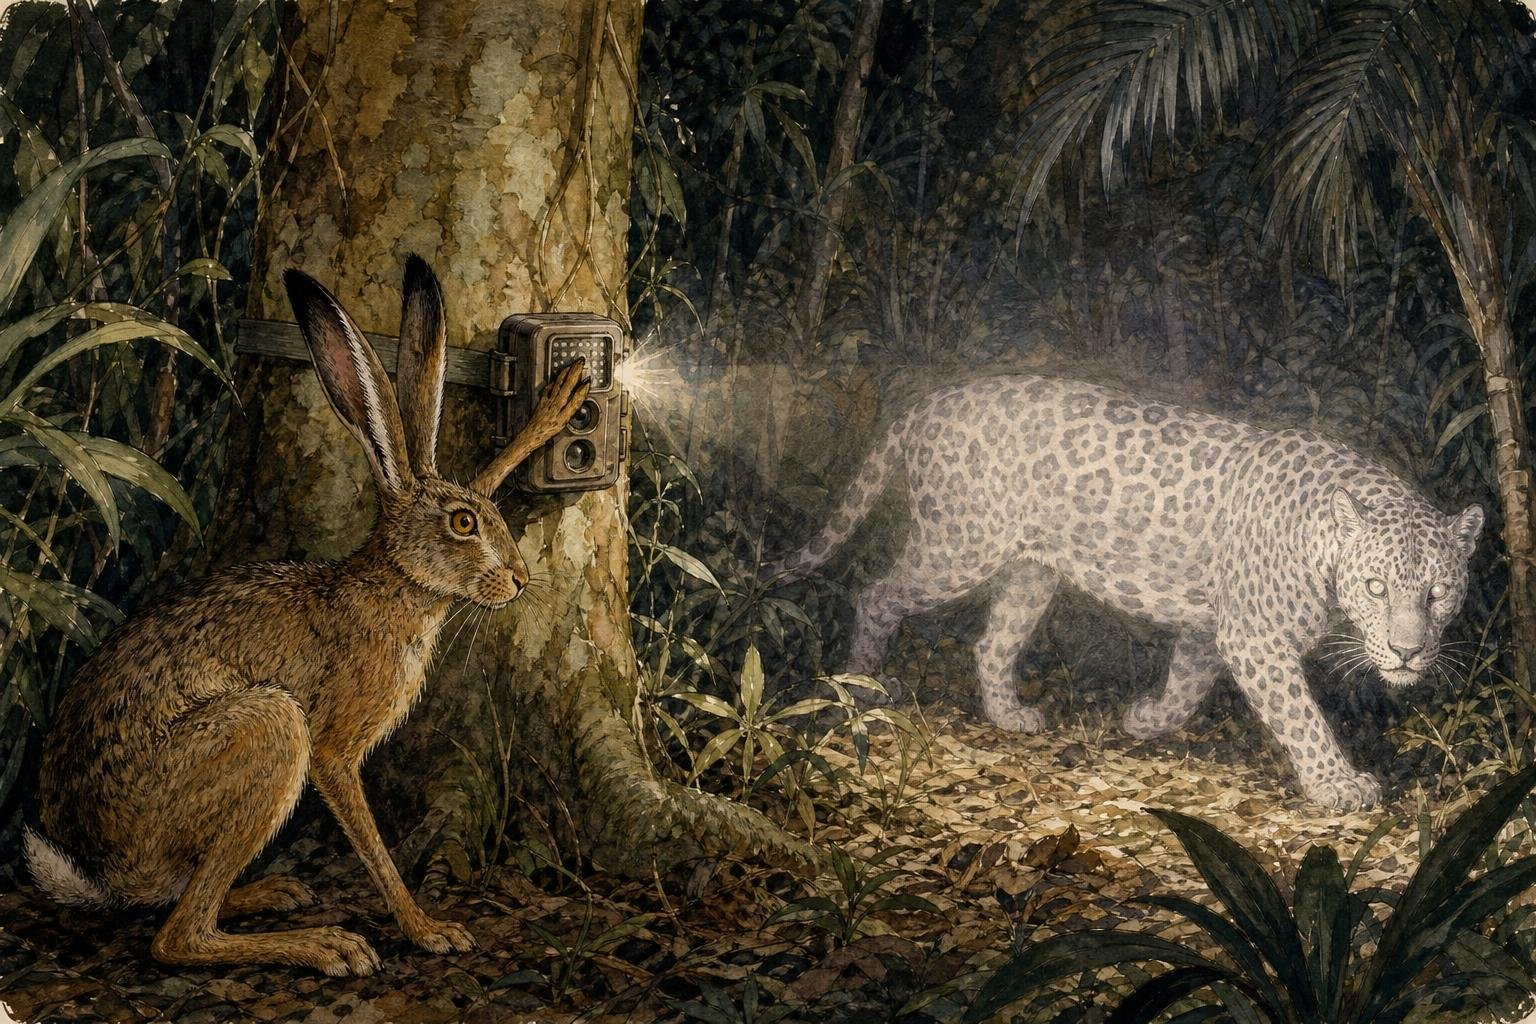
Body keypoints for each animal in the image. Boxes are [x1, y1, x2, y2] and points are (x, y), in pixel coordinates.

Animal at [23, 255, 591, 976]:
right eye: (463, 524)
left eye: (487, 514)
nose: (519, 580)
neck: (397, 583)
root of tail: (101, 870)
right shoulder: (330, 749)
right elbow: (371, 841)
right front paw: (426, 929)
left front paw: (556, 405)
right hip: (266, 729)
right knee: (178, 936)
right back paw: (326, 946)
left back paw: (276, 893)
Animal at [773, 374, 1483, 810]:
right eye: (1375, 587)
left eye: (1439, 593)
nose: (1407, 653)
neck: (1320, 547)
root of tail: (928, 402)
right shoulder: (1254, 636)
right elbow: (1301, 717)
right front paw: (1338, 785)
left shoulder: (1213, 626)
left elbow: (1189, 679)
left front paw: (1145, 720)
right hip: (959, 545)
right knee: (877, 593)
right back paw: (862, 687)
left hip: (1030, 570)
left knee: (992, 641)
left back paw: (1008, 714)